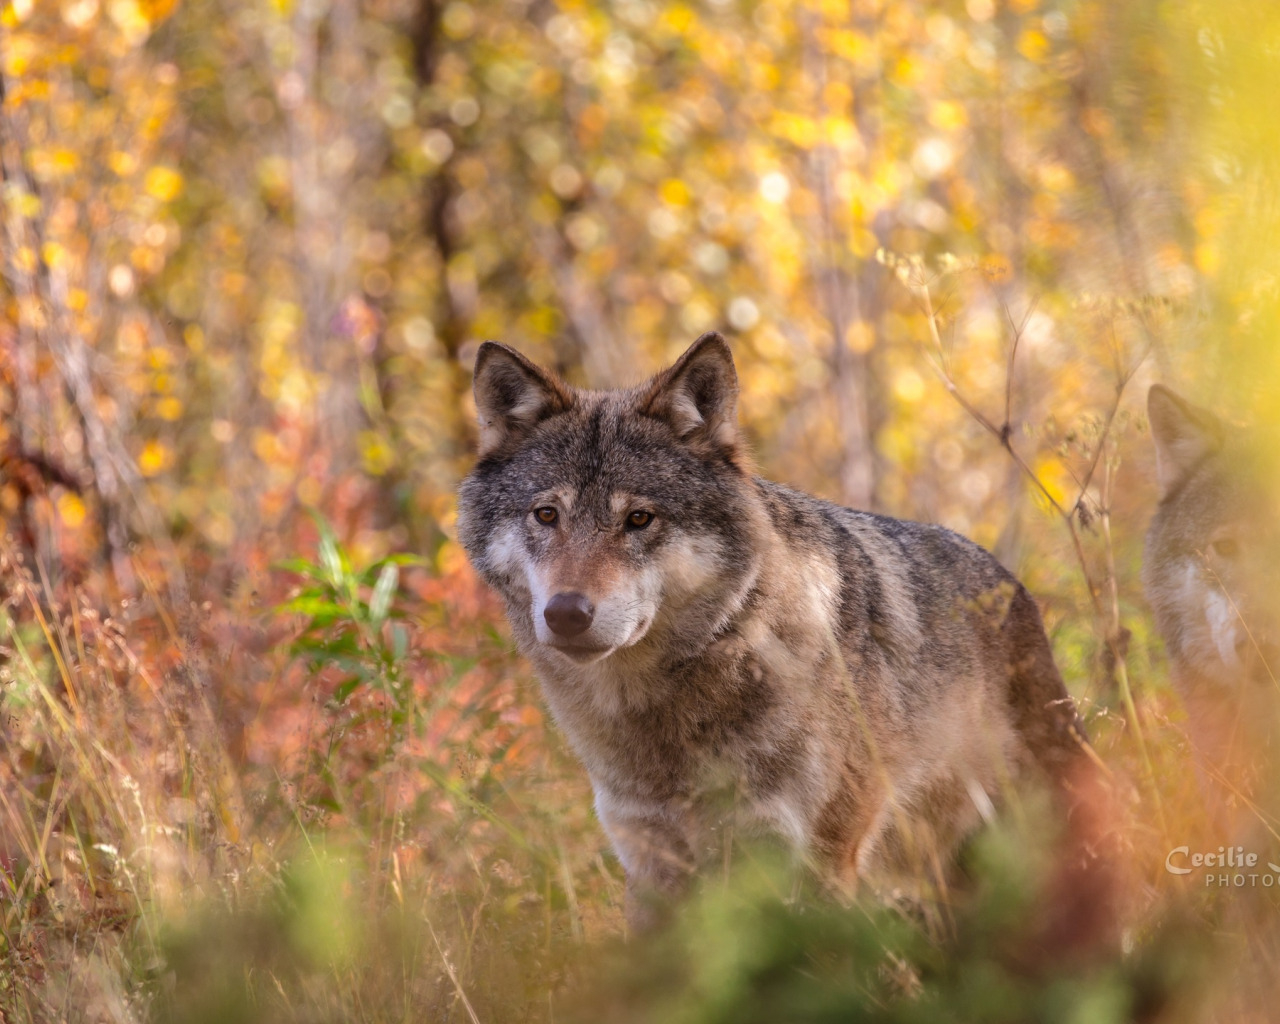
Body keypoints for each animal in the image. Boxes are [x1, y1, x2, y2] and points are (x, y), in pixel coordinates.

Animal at [458, 335, 1090, 926]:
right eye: (546, 515)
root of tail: (1012, 585)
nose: (566, 613)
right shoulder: (650, 864)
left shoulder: (819, 858)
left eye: (639, 519)